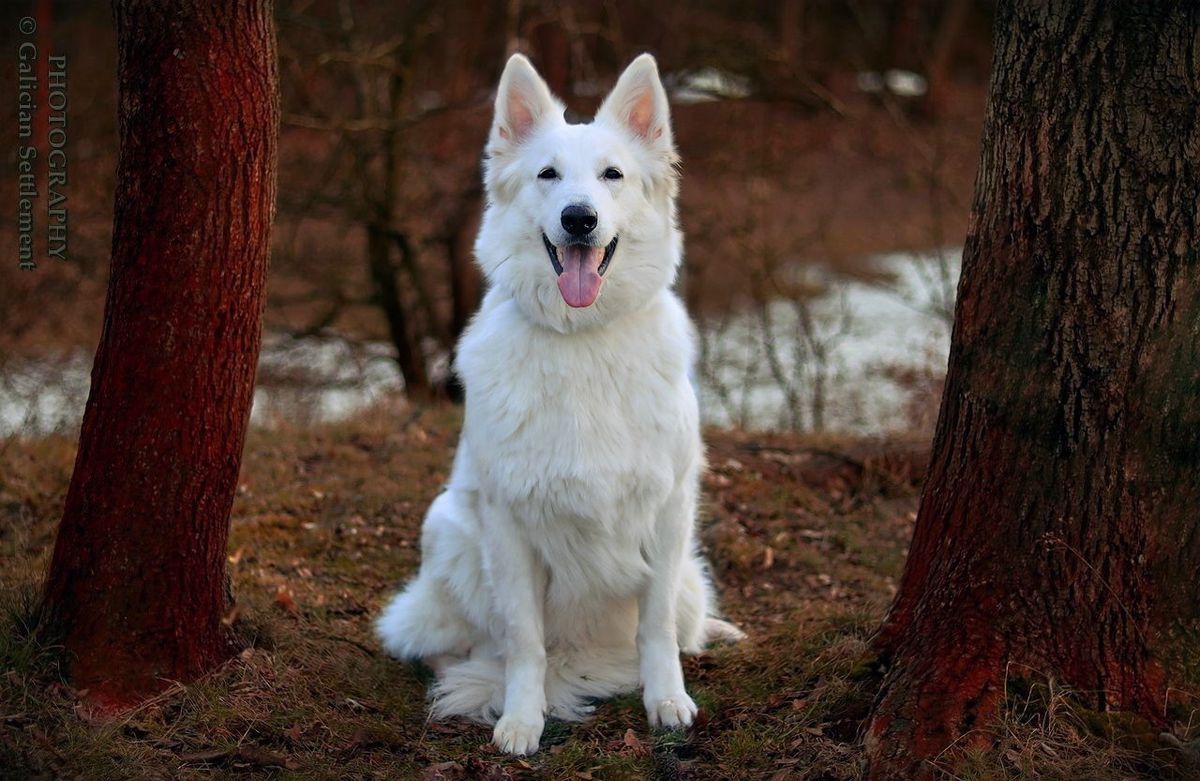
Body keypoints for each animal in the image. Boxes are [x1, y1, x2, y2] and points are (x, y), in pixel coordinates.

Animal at [379, 51, 744, 753]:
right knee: (448, 641)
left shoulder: (668, 514)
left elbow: (657, 629)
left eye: (612, 175)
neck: (583, 339)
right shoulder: (509, 527)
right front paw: (523, 718)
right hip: (448, 527)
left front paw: (666, 700)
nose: (580, 217)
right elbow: (524, 641)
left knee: (683, 621)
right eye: (547, 175)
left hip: (688, 571)